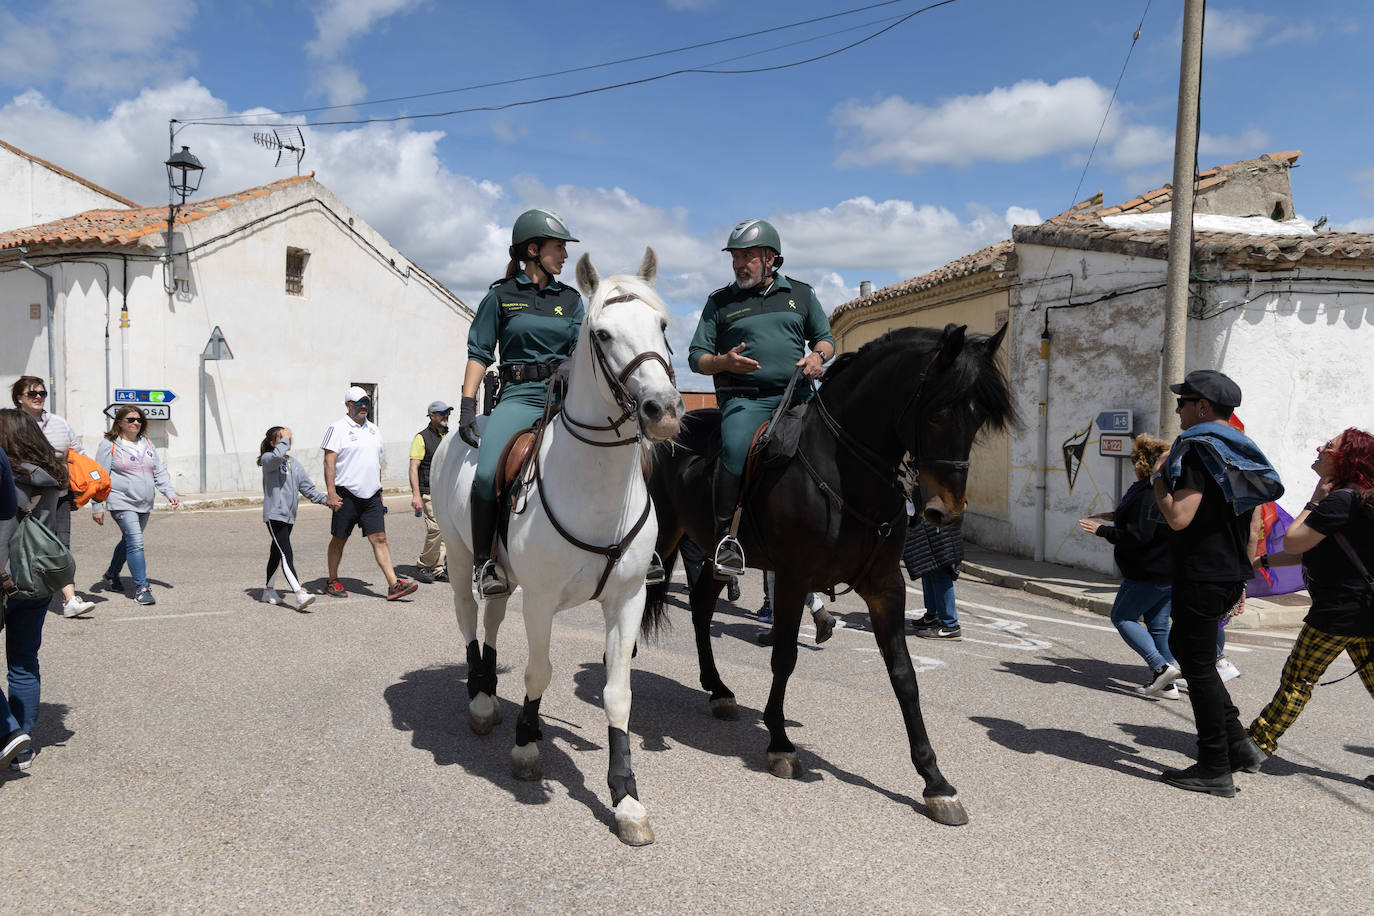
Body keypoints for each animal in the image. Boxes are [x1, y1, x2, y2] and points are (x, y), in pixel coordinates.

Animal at [431, 245, 684, 845]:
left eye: (663, 325)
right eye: (603, 333)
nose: (664, 410)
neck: (596, 486)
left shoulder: (628, 599)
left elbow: (618, 693)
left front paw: (625, 796)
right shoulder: (542, 601)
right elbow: (538, 673)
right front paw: (526, 747)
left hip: (501, 573)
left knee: (493, 615)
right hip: (459, 556)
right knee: (469, 618)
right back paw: (480, 699)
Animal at [640, 322, 1011, 823]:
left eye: (978, 420)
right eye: (938, 413)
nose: (945, 511)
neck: (846, 472)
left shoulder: (886, 588)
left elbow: (904, 675)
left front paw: (935, 781)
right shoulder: (793, 579)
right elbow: (784, 657)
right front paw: (780, 743)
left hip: (715, 557)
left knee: (699, 607)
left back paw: (717, 690)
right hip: (662, 537)